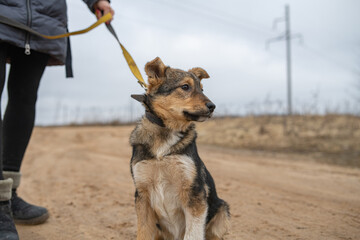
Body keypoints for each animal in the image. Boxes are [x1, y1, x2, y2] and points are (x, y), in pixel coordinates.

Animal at [130, 57, 231, 239]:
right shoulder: (142, 194)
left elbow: (192, 235)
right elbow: (143, 233)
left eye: (202, 89)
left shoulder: (194, 193)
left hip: (222, 211)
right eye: (185, 87)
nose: (212, 106)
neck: (166, 131)